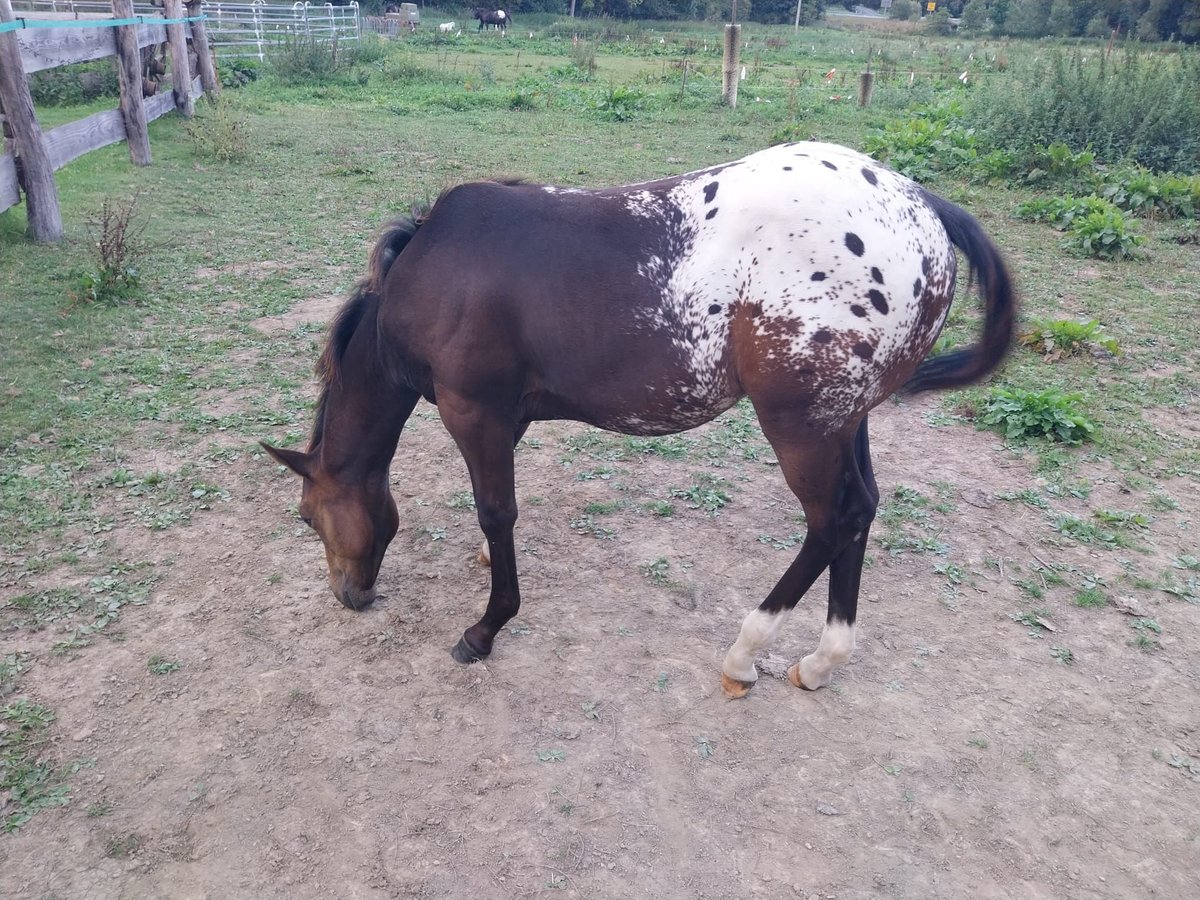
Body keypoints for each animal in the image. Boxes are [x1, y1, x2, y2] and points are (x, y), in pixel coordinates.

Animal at [262, 144, 1012, 700]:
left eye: (307, 516)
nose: (349, 595)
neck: (431, 275)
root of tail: (923, 205)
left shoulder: (472, 409)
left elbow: (495, 511)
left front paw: (486, 627)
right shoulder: (507, 415)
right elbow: (497, 510)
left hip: (802, 427)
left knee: (833, 521)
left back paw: (745, 653)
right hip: (843, 420)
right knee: (861, 512)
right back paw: (822, 661)